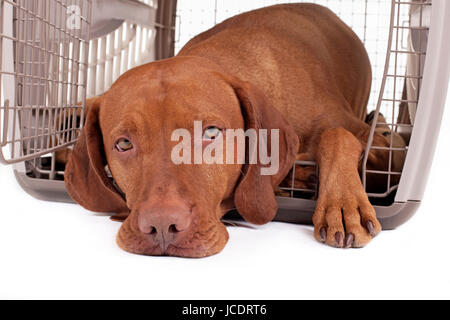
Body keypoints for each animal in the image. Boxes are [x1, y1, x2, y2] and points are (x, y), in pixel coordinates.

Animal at [64, 3, 390, 256]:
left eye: (210, 133)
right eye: (123, 144)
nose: (161, 226)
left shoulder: (382, 144)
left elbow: (337, 135)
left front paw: (344, 205)